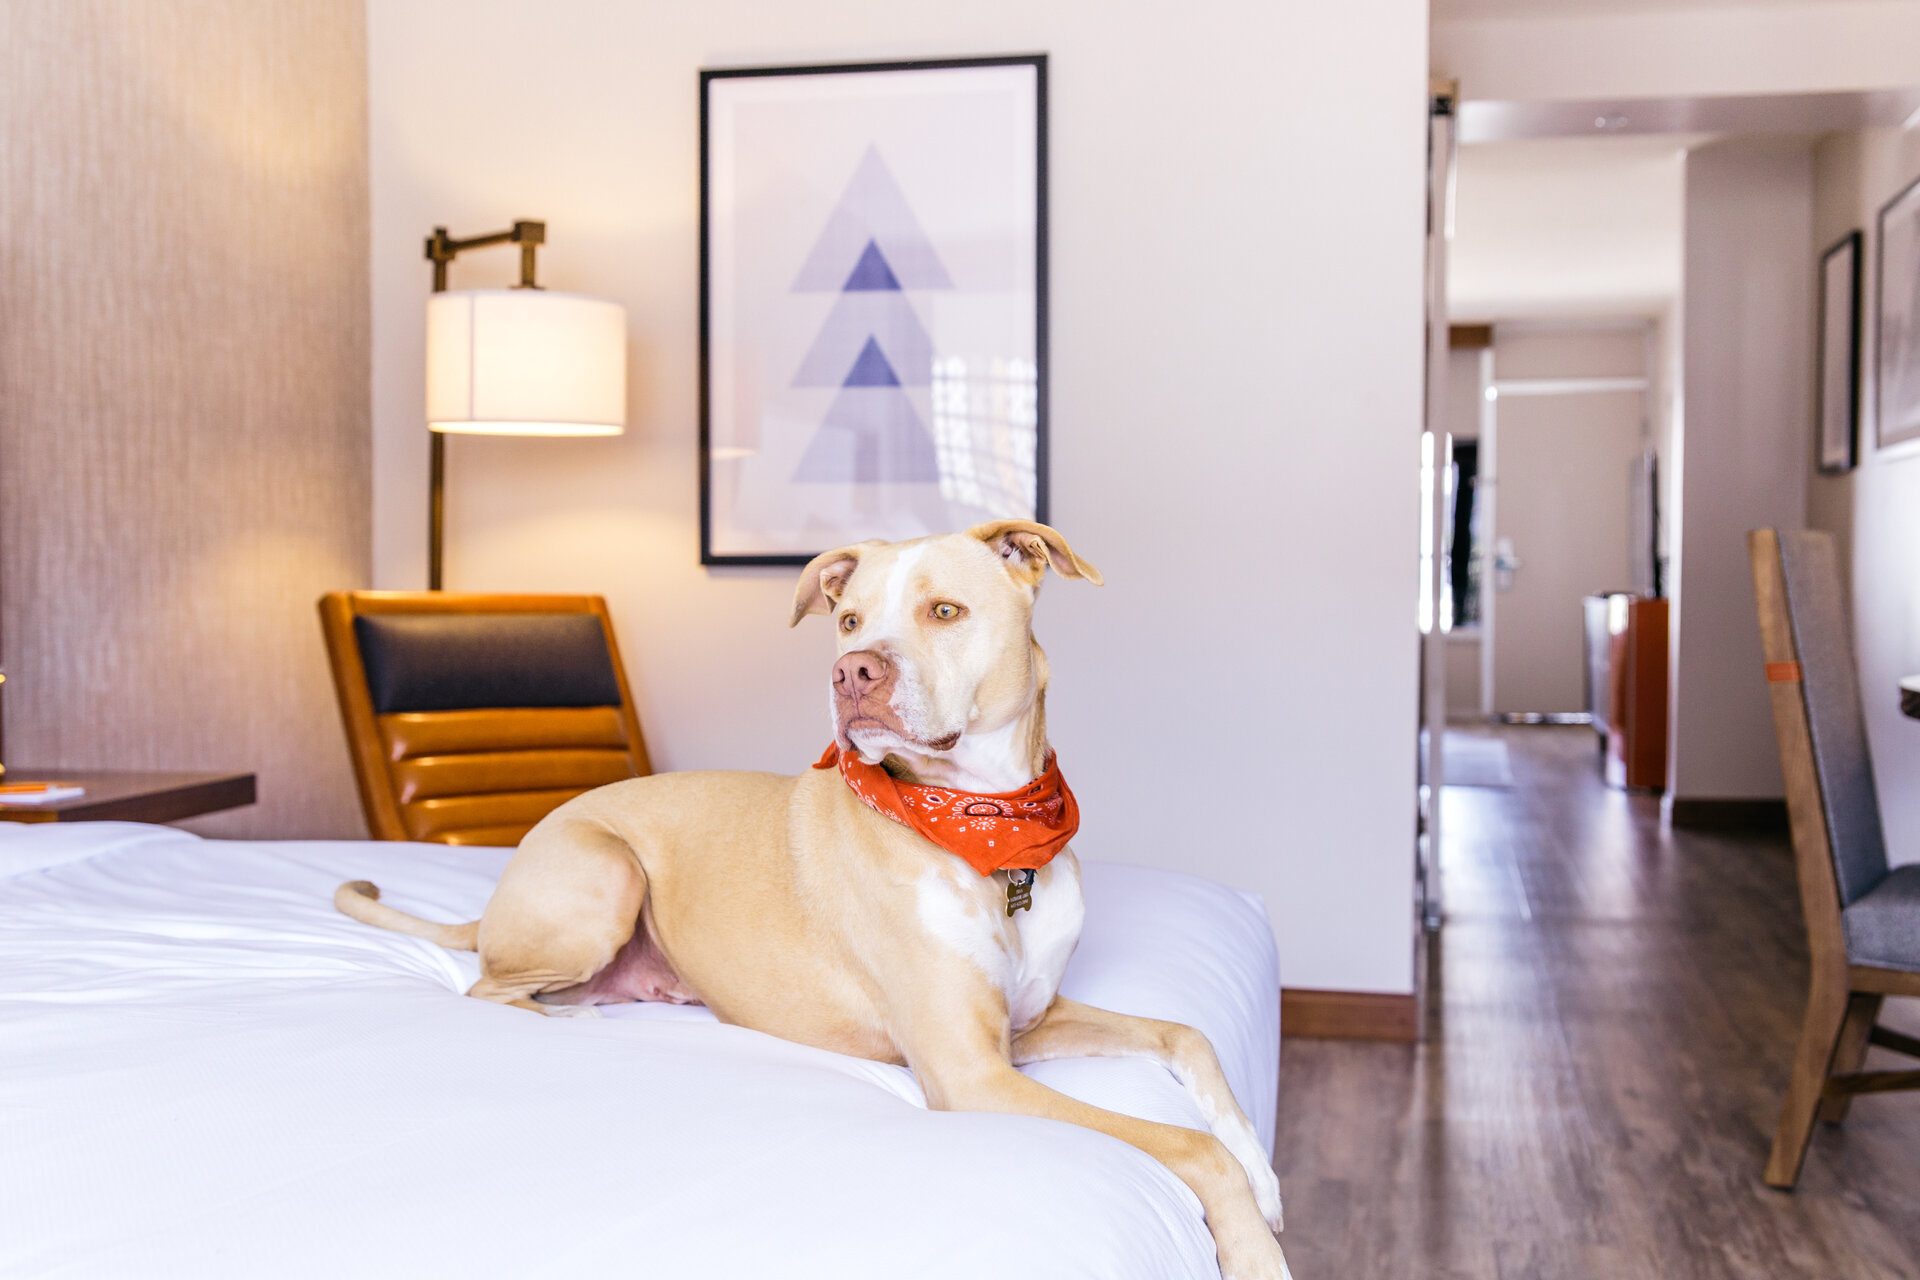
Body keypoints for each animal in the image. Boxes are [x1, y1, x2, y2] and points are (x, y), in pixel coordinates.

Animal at [334, 521, 1290, 1280]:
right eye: (849, 621)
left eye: (945, 612)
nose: (852, 672)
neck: (985, 831)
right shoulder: (972, 1072)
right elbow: (1187, 1146)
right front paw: (1255, 1249)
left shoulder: (1030, 1025)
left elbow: (1187, 1037)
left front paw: (1267, 1175)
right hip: (607, 871)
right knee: (488, 990)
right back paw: (572, 1020)